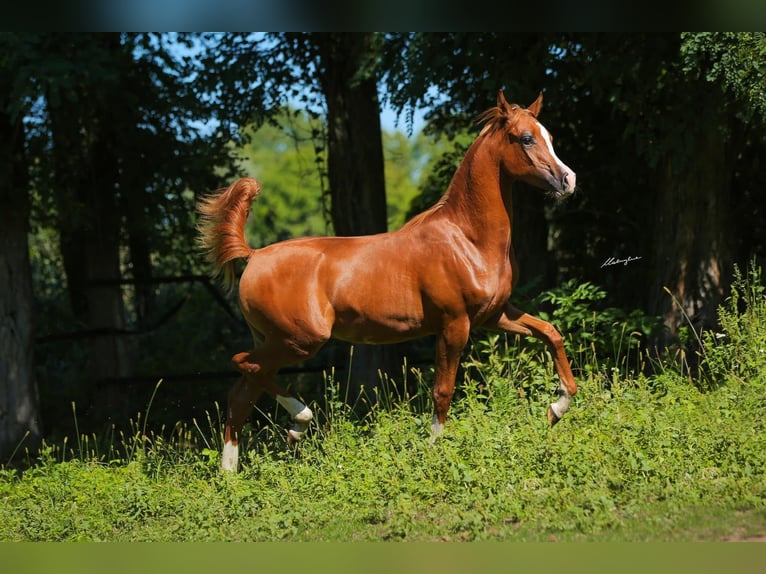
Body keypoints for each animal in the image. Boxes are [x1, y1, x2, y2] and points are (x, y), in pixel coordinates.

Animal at [195, 88, 580, 470]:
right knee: (244, 366)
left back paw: (234, 470)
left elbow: (551, 333)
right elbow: (443, 391)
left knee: (242, 393)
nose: (568, 180)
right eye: (526, 138)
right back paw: (298, 423)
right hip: (300, 340)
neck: (467, 239)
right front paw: (433, 451)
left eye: (550, 136)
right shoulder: (455, 325)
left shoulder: (494, 315)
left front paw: (556, 408)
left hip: (278, 340)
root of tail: (255, 255)